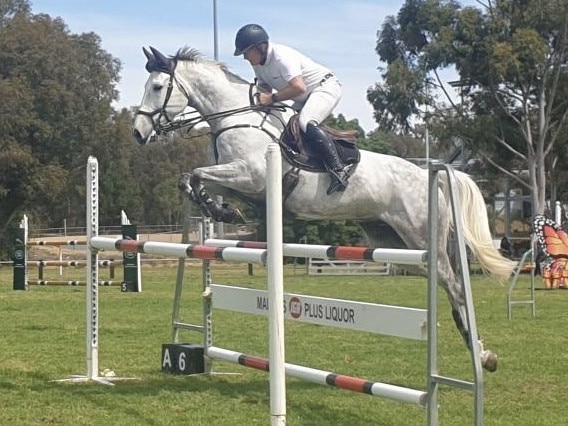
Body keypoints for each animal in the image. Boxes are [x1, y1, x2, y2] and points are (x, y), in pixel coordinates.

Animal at [132, 46, 516, 372]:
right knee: (441, 281)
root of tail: (428, 175)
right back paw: (476, 348)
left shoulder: (251, 175)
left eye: (157, 86)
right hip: (396, 243)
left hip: (423, 240)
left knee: (455, 286)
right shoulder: (236, 180)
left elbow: (196, 174)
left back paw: (482, 354)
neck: (233, 118)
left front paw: (222, 211)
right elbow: (191, 179)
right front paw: (222, 212)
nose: (137, 133)